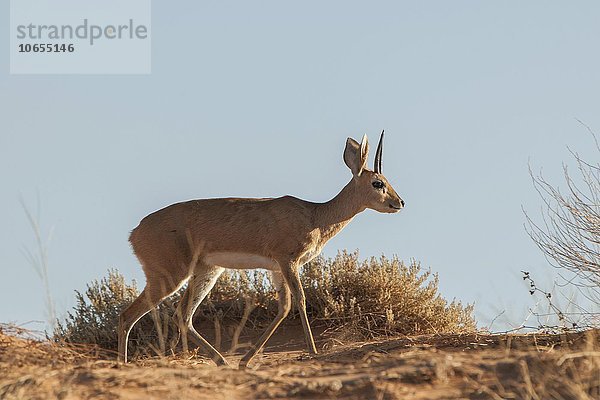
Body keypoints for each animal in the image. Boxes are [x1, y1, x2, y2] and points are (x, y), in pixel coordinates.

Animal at [118, 130, 404, 366]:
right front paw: (313, 351)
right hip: (169, 277)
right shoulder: (288, 262)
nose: (400, 202)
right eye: (378, 183)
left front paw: (246, 360)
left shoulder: (276, 268)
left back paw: (222, 361)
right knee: (127, 316)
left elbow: (284, 307)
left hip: (206, 273)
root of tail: (135, 232)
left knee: (182, 316)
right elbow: (300, 300)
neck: (315, 215)